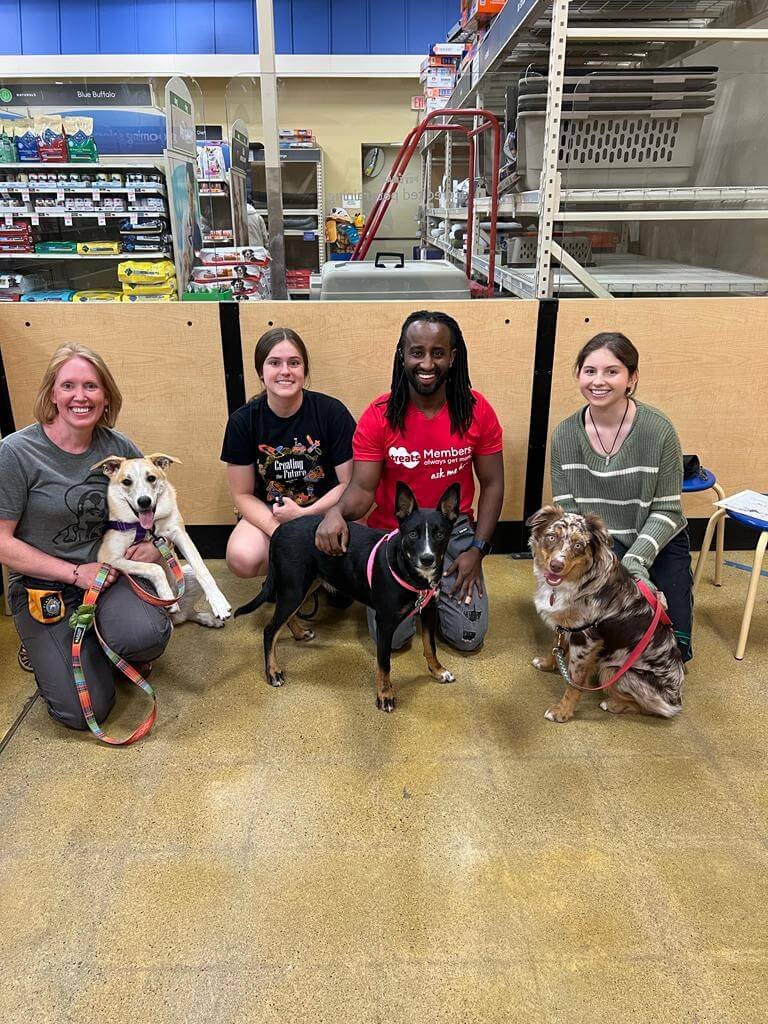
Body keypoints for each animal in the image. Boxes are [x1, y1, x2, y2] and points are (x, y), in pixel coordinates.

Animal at [92, 453, 232, 627]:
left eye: (151, 478)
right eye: (126, 482)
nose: (144, 501)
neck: (145, 529)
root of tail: (174, 619)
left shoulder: (179, 534)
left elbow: (203, 570)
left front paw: (218, 602)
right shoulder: (109, 558)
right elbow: (155, 568)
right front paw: (168, 597)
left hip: (187, 574)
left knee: (188, 612)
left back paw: (209, 619)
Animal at [234, 482, 460, 712]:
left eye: (440, 534)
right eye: (413, 534)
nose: (427, 559)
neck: (408, 571)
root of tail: (280, 529)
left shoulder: (429, 611)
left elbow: (430, 646)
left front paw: (438, 671)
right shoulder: (385, 623)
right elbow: (384, 664)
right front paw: (385, 695)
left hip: (306, 585)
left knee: (286, 619)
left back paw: (299, 633)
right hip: (294, 588)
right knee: (270, 630)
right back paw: (273, 672)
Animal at [527, 505, 683, 723]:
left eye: (578, 545)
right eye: (551, 537)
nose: (556, 565)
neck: (580, 581)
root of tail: (676, 698)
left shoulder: (585, 640)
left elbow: (573, 682)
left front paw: (562, 711)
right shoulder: (567, 627)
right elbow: (555, 646)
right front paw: (547, 663)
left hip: (612, 670)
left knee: (651, 709)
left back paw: (613, 704)